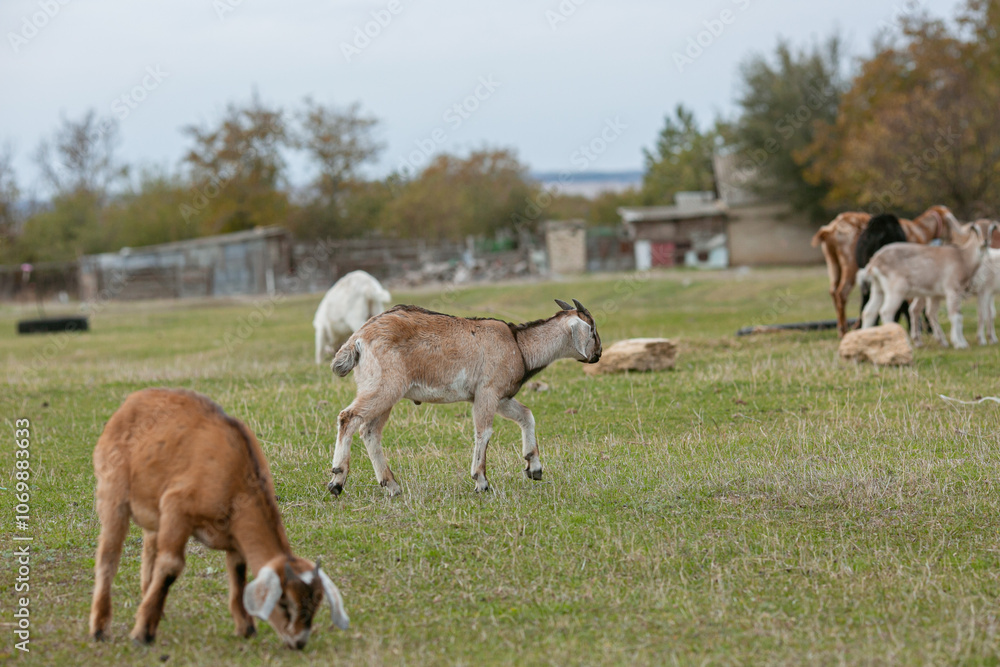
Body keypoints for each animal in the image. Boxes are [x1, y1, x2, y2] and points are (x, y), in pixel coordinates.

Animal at [89, 388, 349, 649]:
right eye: (284, 603)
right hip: (112, 491)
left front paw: (246, 628)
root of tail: (131, 401)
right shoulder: (177, 508)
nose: (299, 642)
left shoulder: (234, 537)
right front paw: (143, 633)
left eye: (316, 605)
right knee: (108, 557)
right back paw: (100, 628)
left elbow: (239, 573)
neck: (237, 478)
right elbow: (171, 565)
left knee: (149, 552)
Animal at [327, 299, 602, 496]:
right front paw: (481, 481)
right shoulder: (487, 392)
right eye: (593, 331)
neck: (519, 345)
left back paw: (391, 485)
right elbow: (484, 431)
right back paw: (337, 481)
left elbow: (526, 415)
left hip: (380, 391)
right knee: (348, 417)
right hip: (385, 387)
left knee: (370, 431)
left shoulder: (500, 397)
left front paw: (534, 468)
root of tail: (357, 339)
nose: (598, 354)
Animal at [859, 223, 995, 349]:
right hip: (896, 291)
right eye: (976, 229)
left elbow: (938, 314)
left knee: (869, 312)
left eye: (991, 229)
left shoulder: (936, 295)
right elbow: (956, 316)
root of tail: (875, 261)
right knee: (886, 312)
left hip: (878, 289)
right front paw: (960, 344)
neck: (962, 258)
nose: (985, 241)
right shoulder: (952, 291)